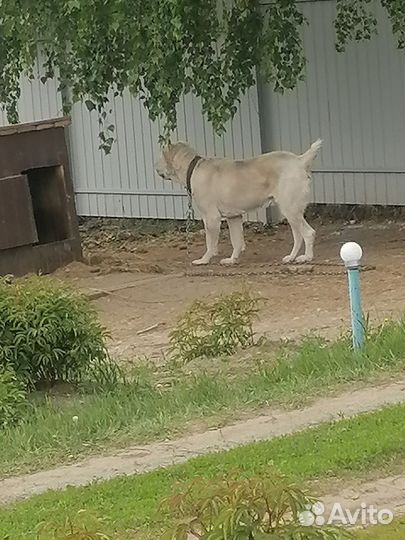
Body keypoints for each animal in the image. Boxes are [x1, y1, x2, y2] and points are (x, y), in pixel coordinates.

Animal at [155, 139, 322, 266]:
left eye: (161, 157)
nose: (155, 168)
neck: (193, 167)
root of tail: (299, 161)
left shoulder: (211, 218)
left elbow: (210, 242)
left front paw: (204, 260)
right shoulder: (233, 217)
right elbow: (236, 241)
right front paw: (231, 260)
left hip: (290, 210)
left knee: (308, 233)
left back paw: (306, 258)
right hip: (291, 213)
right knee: (298, 237)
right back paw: (291, 257)